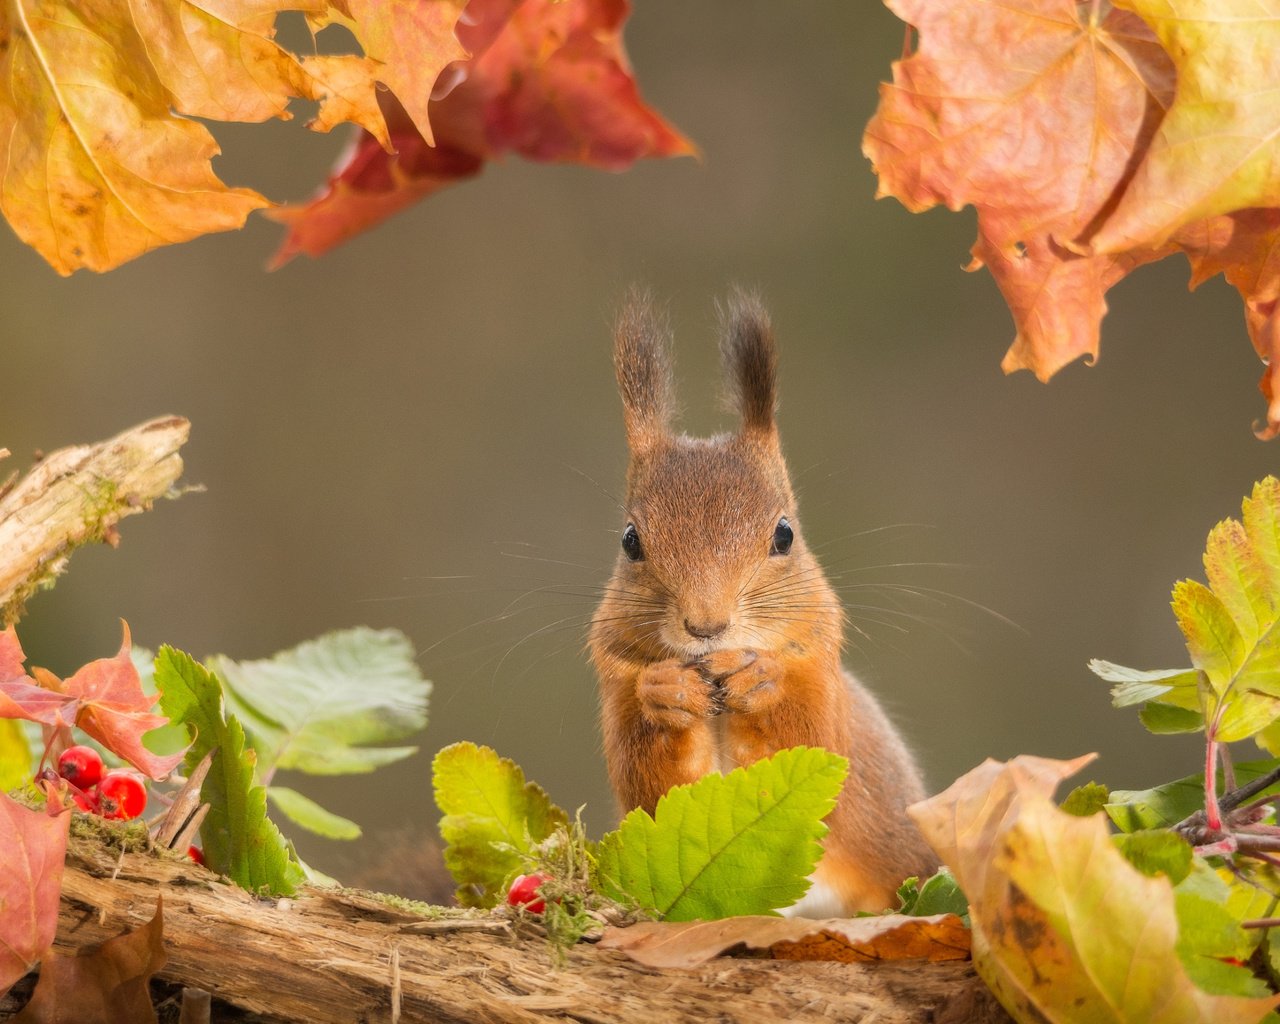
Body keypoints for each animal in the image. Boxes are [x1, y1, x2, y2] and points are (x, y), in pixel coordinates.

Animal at [586, 291, 936, 916]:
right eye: (630, 541)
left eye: (784, 535)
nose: (706, 626)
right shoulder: (616, 684)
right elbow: (655, 790)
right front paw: (665, 692)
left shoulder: (820, 673)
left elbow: (811, 742)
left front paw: (760, 678)